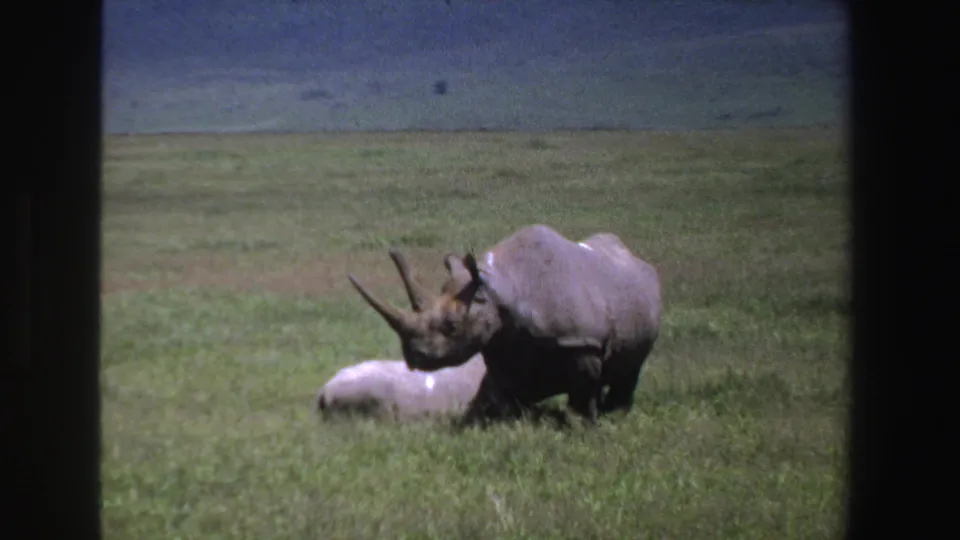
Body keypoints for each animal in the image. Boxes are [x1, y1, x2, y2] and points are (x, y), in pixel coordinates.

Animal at [347, 224, 663, 426]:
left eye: (451, 326)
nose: (414, 358)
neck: (501, 289)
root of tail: (633, 256)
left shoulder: (581, 341)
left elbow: (583, 392)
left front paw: (582, 426)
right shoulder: (501, 343)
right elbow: (494, 394)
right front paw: (486, 423)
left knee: (631, 367)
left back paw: (615, 414)